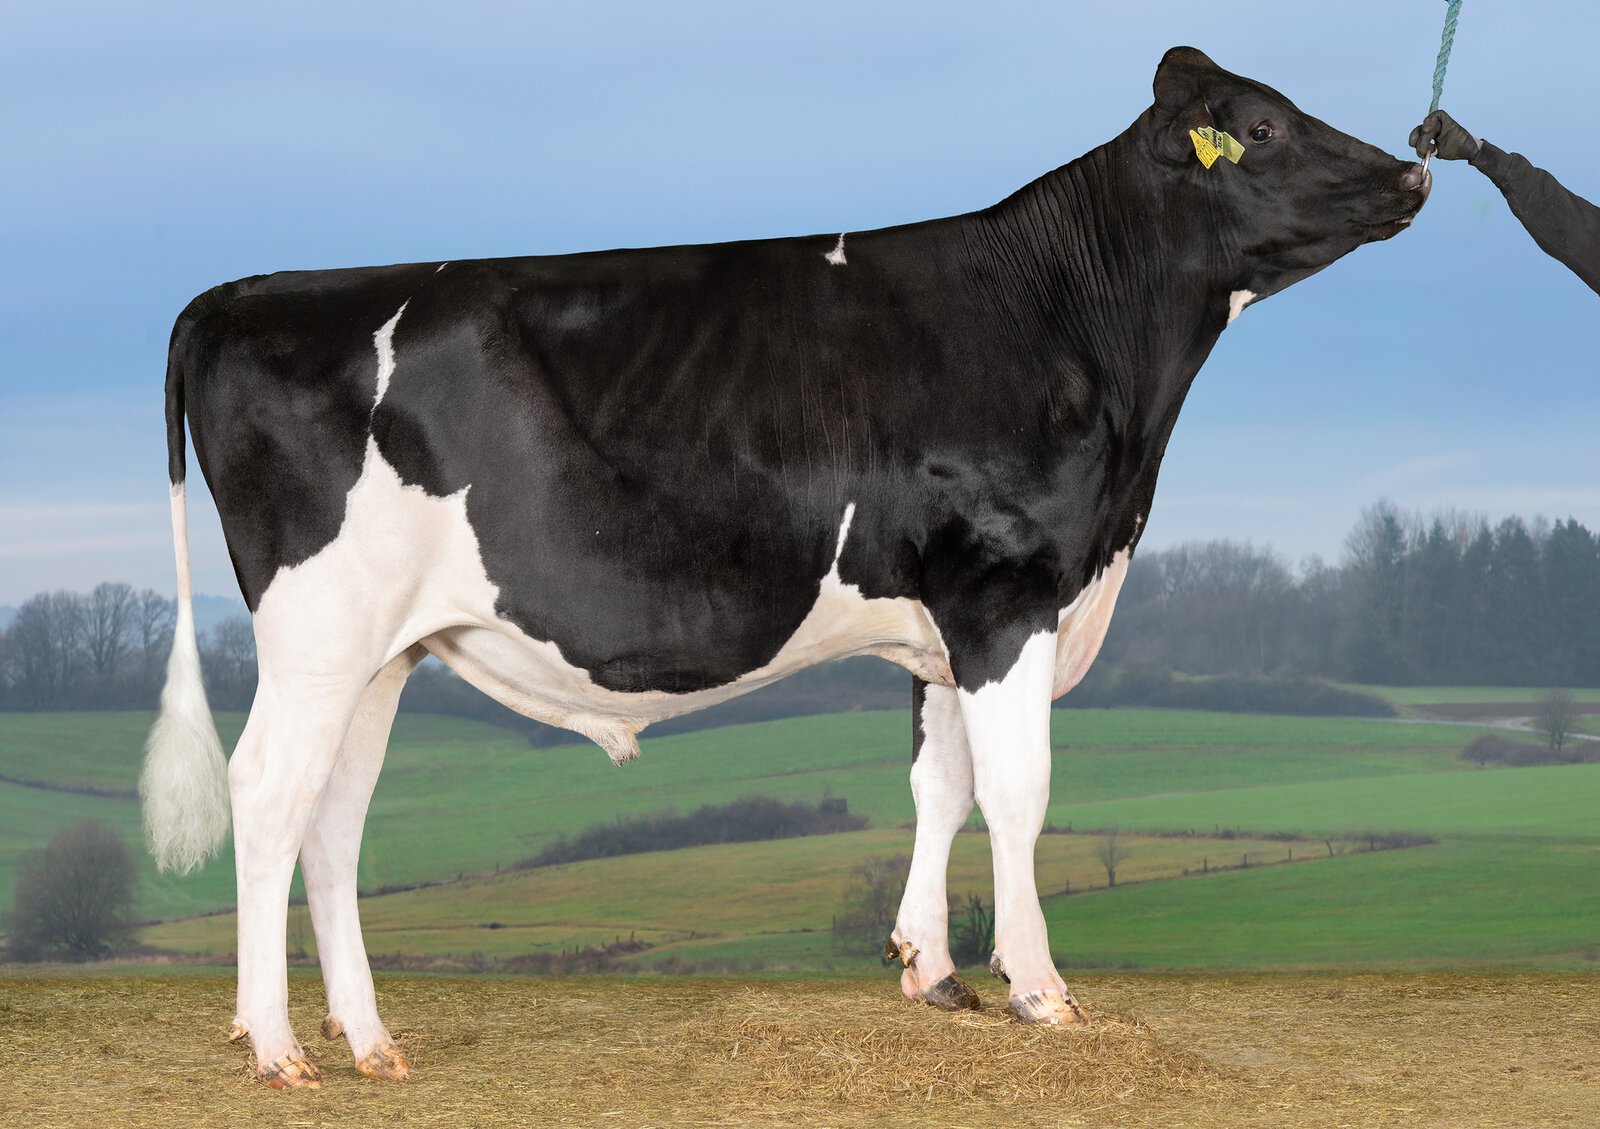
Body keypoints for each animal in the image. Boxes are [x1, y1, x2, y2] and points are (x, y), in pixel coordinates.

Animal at [140, 47, 1428, 1088]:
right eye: (1260, 125)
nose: (1413, 170)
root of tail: (240, 293)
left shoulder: (938, 620)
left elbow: (938, 782)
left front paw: (931, 972)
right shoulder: (1004, 590)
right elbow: (1018, 790)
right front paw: (1038, 989)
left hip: (383, 650)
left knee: (335, 817)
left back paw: (371, 1042)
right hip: (316, 629)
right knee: (269, 791)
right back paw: (279, 1048)